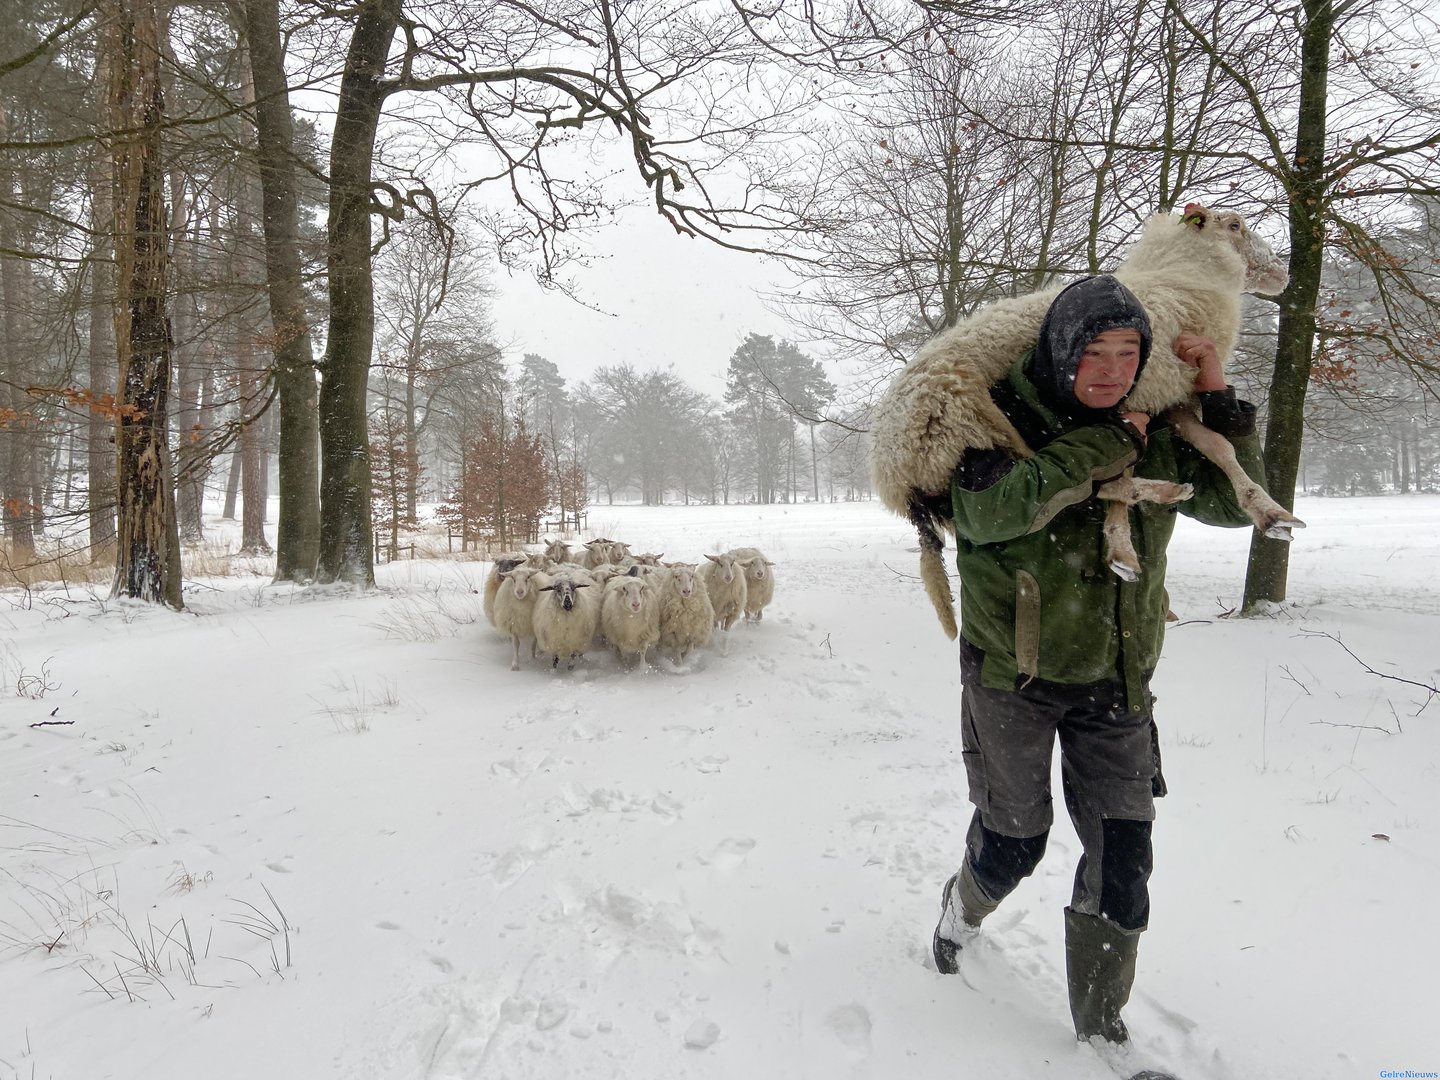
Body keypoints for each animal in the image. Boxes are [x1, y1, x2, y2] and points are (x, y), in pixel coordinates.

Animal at [864, 204, 1307, 633]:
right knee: (1061, 490)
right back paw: (1163, 494)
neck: (1181, 280)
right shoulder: (1138, 399)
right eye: (1234, 225)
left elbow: (1219, 446)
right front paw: (1121, 547)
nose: (1281, 273)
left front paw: (1271, 514)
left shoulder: (1169, 396)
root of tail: (890, 471)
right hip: (977, 428)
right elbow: (1126, 463)